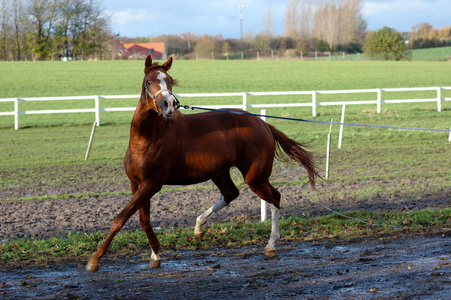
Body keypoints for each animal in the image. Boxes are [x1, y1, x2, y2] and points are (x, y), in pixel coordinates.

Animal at [86, 55, 320, 274]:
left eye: (170, 80)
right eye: (149, 81)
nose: (168, 104)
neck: (145, 139)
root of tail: (263, 124)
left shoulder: (152, 183)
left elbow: (120, 219)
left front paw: (94, 260)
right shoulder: (136, 184)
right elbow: (144, 220)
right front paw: (155, 256)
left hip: (255, 176)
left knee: (274, 197)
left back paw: (270, 245)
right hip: (219, 172)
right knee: (231, 193)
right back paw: (198, 228)